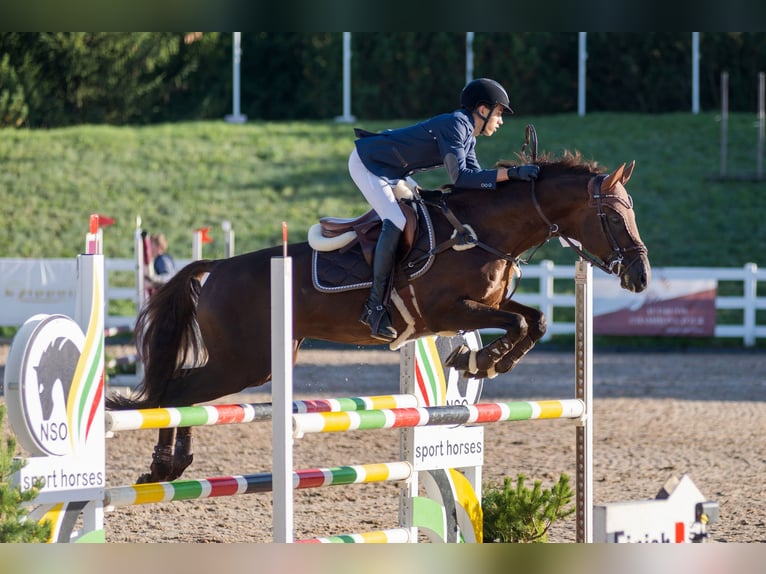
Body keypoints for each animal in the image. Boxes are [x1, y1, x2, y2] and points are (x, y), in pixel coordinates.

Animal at [105, 151, 652, 484]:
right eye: (613, 215)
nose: (641, 277)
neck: (483, 232)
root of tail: (217, 268)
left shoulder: (485, 304)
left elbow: (533, 320)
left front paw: (482, 361)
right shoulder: (446, 309)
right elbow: (519, 324)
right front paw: (480, 361)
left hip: (255, 361)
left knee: (180, 390)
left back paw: (171, 466)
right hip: (245, 363)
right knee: (177, 391)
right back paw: (163, 467)